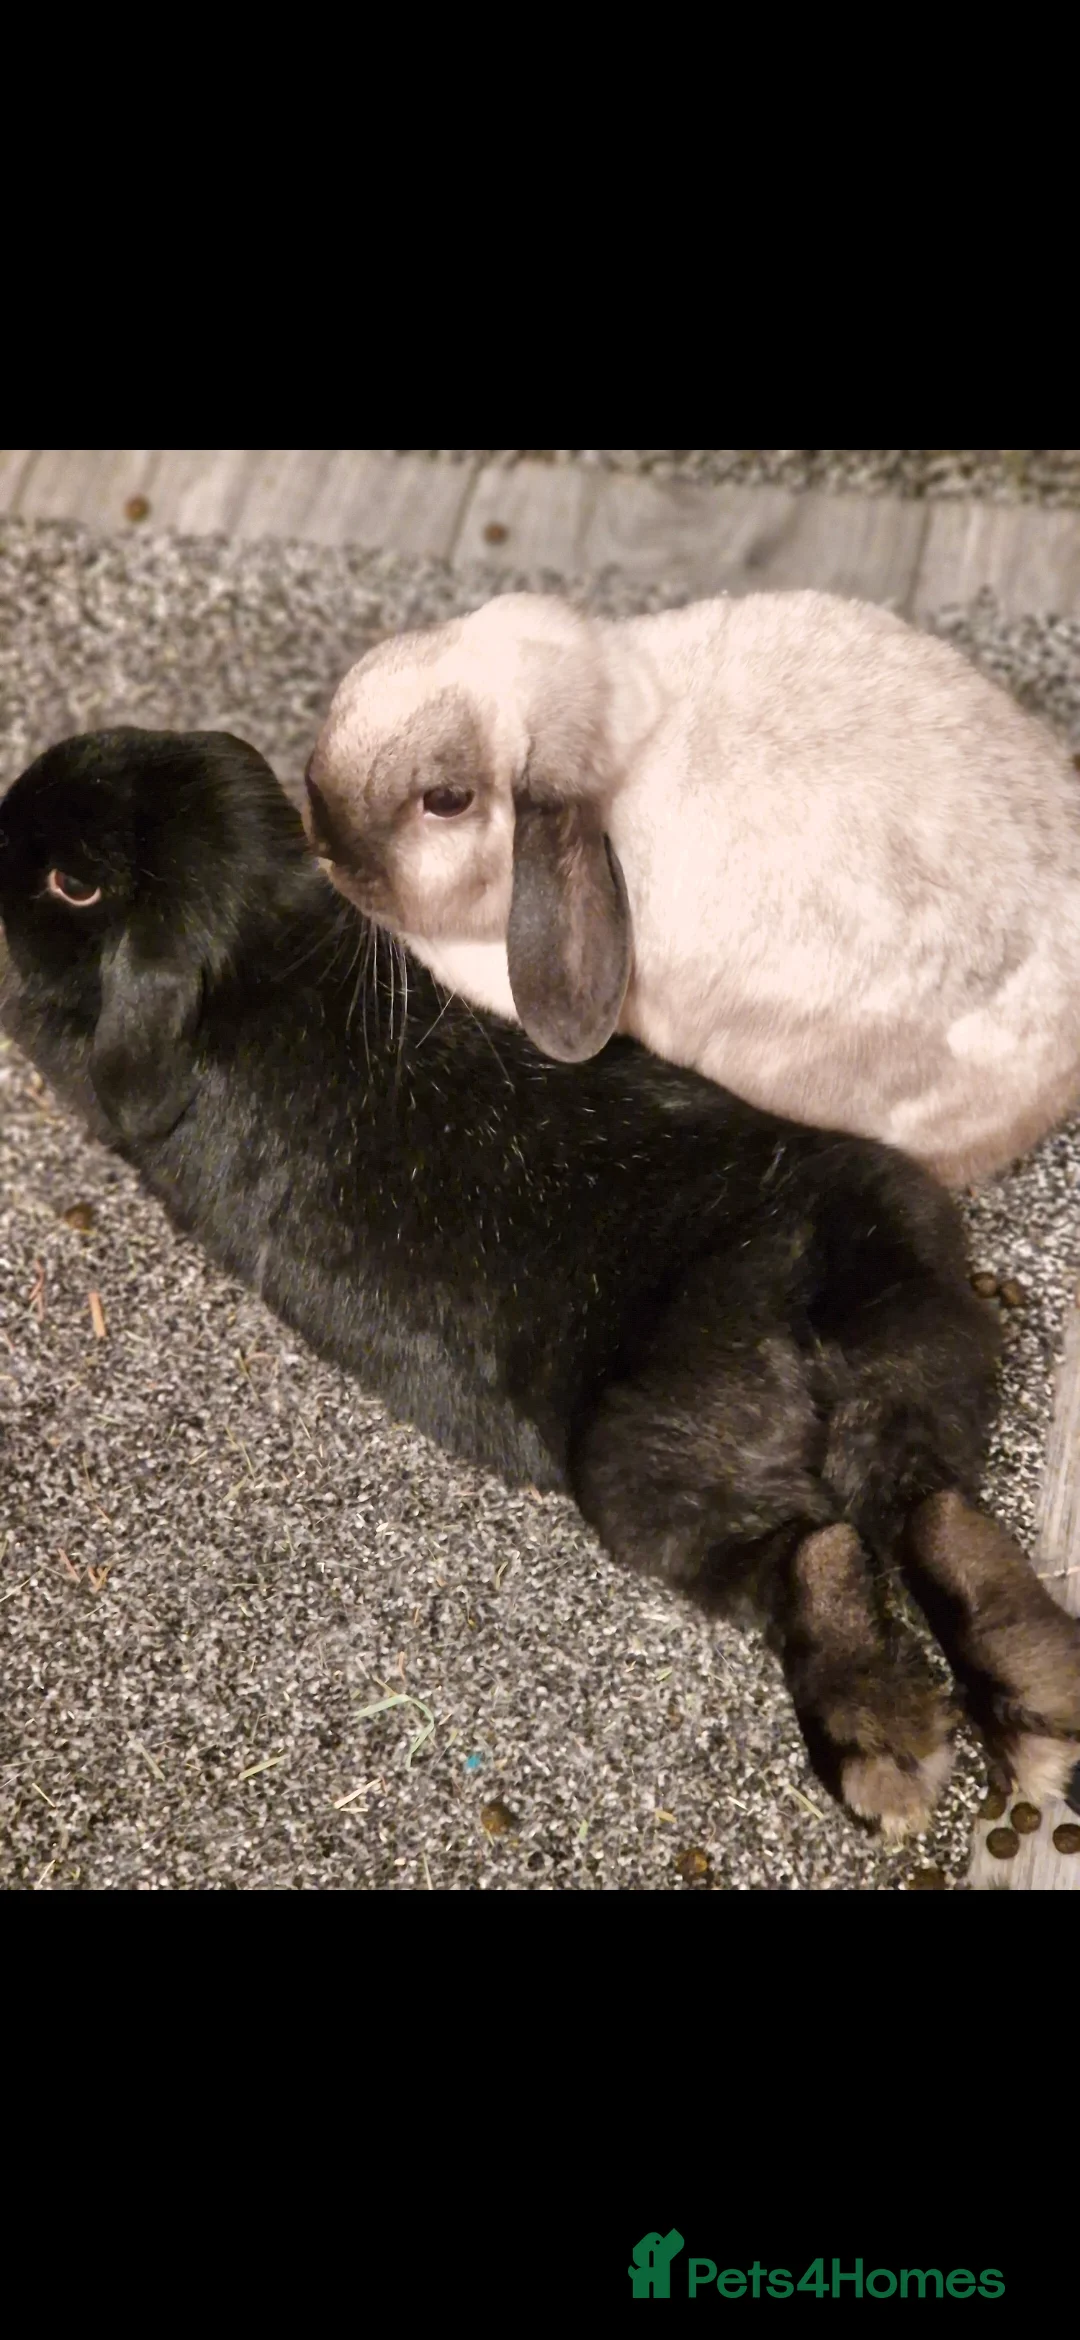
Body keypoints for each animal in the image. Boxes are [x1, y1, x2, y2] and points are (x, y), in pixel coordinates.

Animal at [3, 726, 1080, 1843]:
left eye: (71, 884)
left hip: (641, 1469)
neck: (265, 943)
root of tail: (795, 1287)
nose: (4, 824)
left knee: (816, 1547)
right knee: (926, 1505)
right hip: (910, 1312)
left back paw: (885, 1752)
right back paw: (1038, 1706)